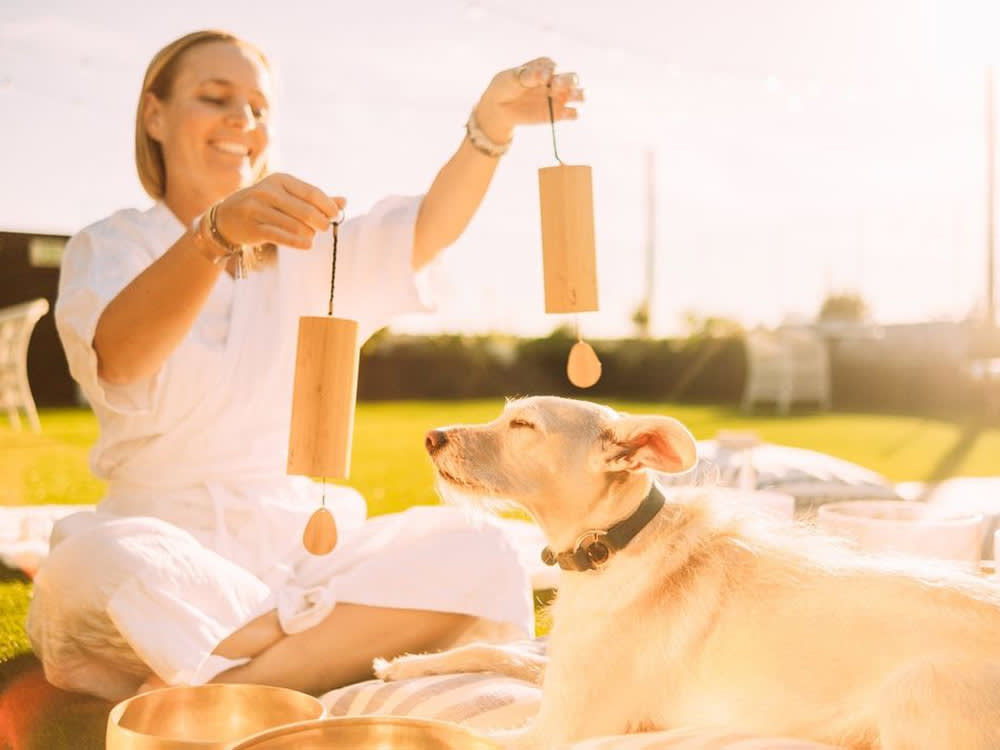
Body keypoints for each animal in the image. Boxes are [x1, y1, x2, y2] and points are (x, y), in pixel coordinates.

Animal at [376, 396, 1000, 748]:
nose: (430, 437)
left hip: (914, 691)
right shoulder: (560, 672)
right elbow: (493, 650)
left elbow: (456, 731)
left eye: (523, 426)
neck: (612, 546)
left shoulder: (557, 730)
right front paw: (405, 664)